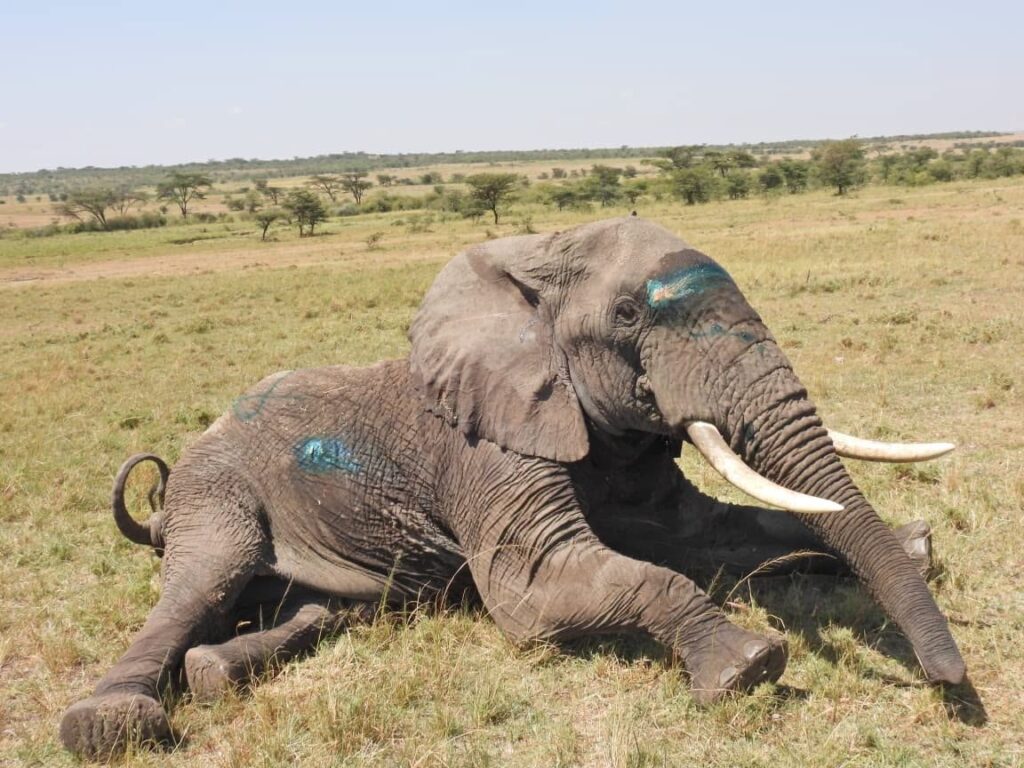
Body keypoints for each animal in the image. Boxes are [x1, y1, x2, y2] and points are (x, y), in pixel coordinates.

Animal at [60, 217, 964, 758]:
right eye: (629, 315)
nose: (952, 687)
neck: (531, 270)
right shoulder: (484, 448)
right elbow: (538, 592)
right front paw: (748, 664)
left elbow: (709, 534)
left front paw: (915, 546)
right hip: (217, 488)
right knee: (205, 574)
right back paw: (109, 723)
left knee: (314, 610)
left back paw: (217, 672)